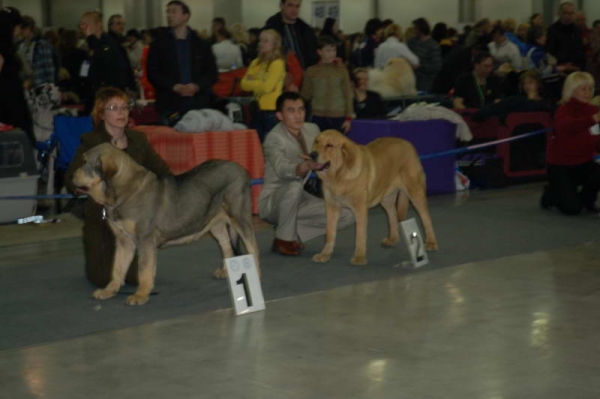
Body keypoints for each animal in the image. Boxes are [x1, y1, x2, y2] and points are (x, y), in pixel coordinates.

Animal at [71, 144, 258, 306]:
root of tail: (242, 169)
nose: (71, 177)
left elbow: (144, 269)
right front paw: (109, 290)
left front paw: (141, 295)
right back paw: (226, 271)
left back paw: (254, 273)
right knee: (226, 246)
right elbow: (117, 268)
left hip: (240, 217)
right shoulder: (124, 242)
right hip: (215, 223)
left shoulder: (145, 240)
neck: (123, 192)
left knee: (252, 248)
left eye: (85, 162)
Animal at [310, 129, 436, 266]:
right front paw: (325, 254)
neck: (339, 176)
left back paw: (431, 243)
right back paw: (393, 239)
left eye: (329, 145)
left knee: (426, 217)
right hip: (386, 198)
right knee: (392, 214)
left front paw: (359, 257)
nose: (312, 154)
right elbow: (329, 234)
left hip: (415, 192)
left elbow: (360, 235)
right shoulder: (331, 207)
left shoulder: (360, 209)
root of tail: (407, 143)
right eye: (316, 141)